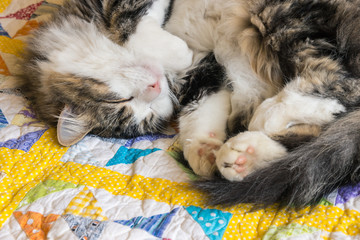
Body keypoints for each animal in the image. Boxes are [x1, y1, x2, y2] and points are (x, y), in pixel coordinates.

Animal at [165, 0, 360, 207]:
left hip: (277, 14)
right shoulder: (201, 63)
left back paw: (264, 121)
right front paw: (202, 148)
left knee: (341, 82)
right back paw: (246, 158)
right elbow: (198, 106)